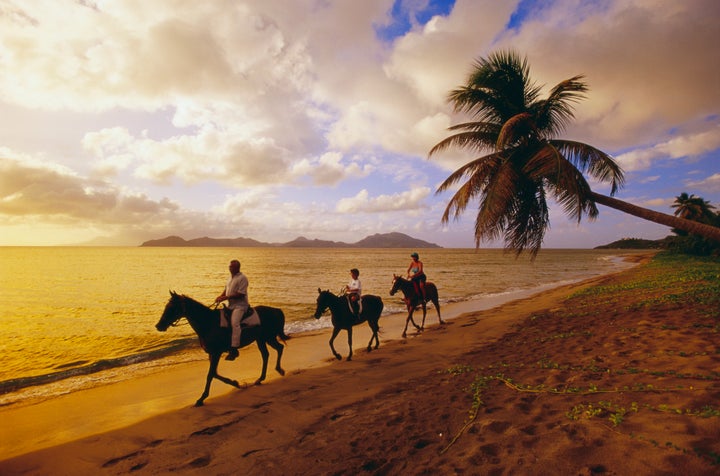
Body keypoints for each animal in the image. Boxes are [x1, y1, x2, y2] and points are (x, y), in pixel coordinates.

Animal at [155, 290, 290, 406]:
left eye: (172, 307)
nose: (158, 325)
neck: (208, 323)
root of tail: (276, 310)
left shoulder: (216, 353)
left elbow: (210, 375)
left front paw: (201, 398)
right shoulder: (212, 354)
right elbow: (214, 373)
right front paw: (236, 383)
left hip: (268, 337)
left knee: (279, 348)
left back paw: (279, 370)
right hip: (261, 339)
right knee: (266, 354)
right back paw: (261, 379)